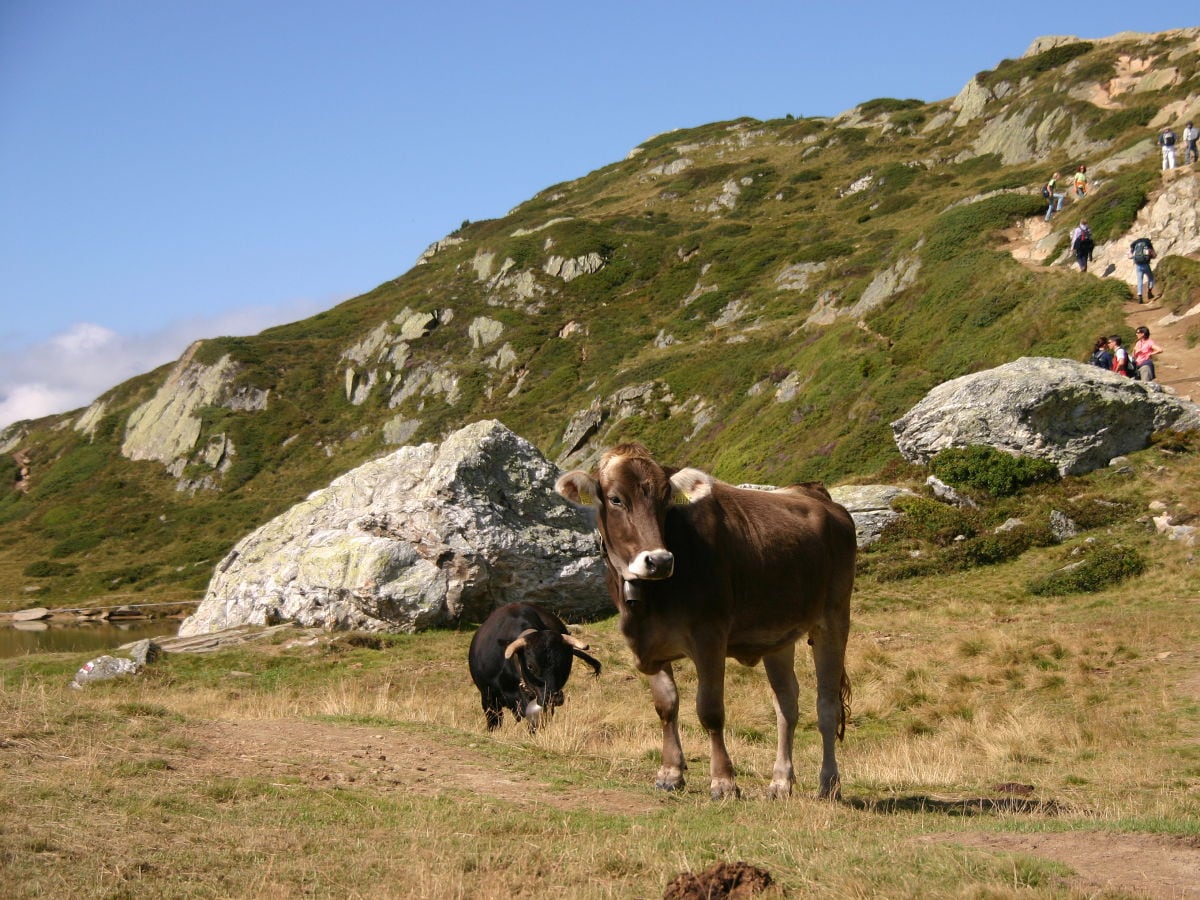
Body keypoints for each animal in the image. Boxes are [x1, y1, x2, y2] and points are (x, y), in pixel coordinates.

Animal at [556, 441, 859, 801]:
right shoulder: (651, 645)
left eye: (665, 499)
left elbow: (710, 711)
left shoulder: (710, 637)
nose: (659, 560)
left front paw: (724, 782)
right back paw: (780, 782)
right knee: (787, 703)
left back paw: (828, 783)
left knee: (827, 706)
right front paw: (670, 773)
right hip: (778, 633)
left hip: (834, 618)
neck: (650, 599)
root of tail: (814, 493)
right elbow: (666, 706)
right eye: (616, 499)